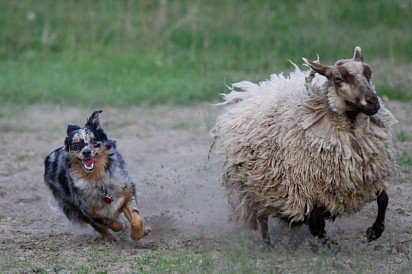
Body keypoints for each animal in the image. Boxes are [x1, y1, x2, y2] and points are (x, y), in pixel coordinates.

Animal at [212, 47, 396, 244]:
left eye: (369, 73)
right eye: (338, 78)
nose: (373, 102)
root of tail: (251, 91)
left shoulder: (368, 175)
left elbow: (384, 198)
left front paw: (375, 231)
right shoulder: (307, 185)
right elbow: (317, 224)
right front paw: (329, 242)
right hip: (257, 185)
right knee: (262, 215)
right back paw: (268, 242)